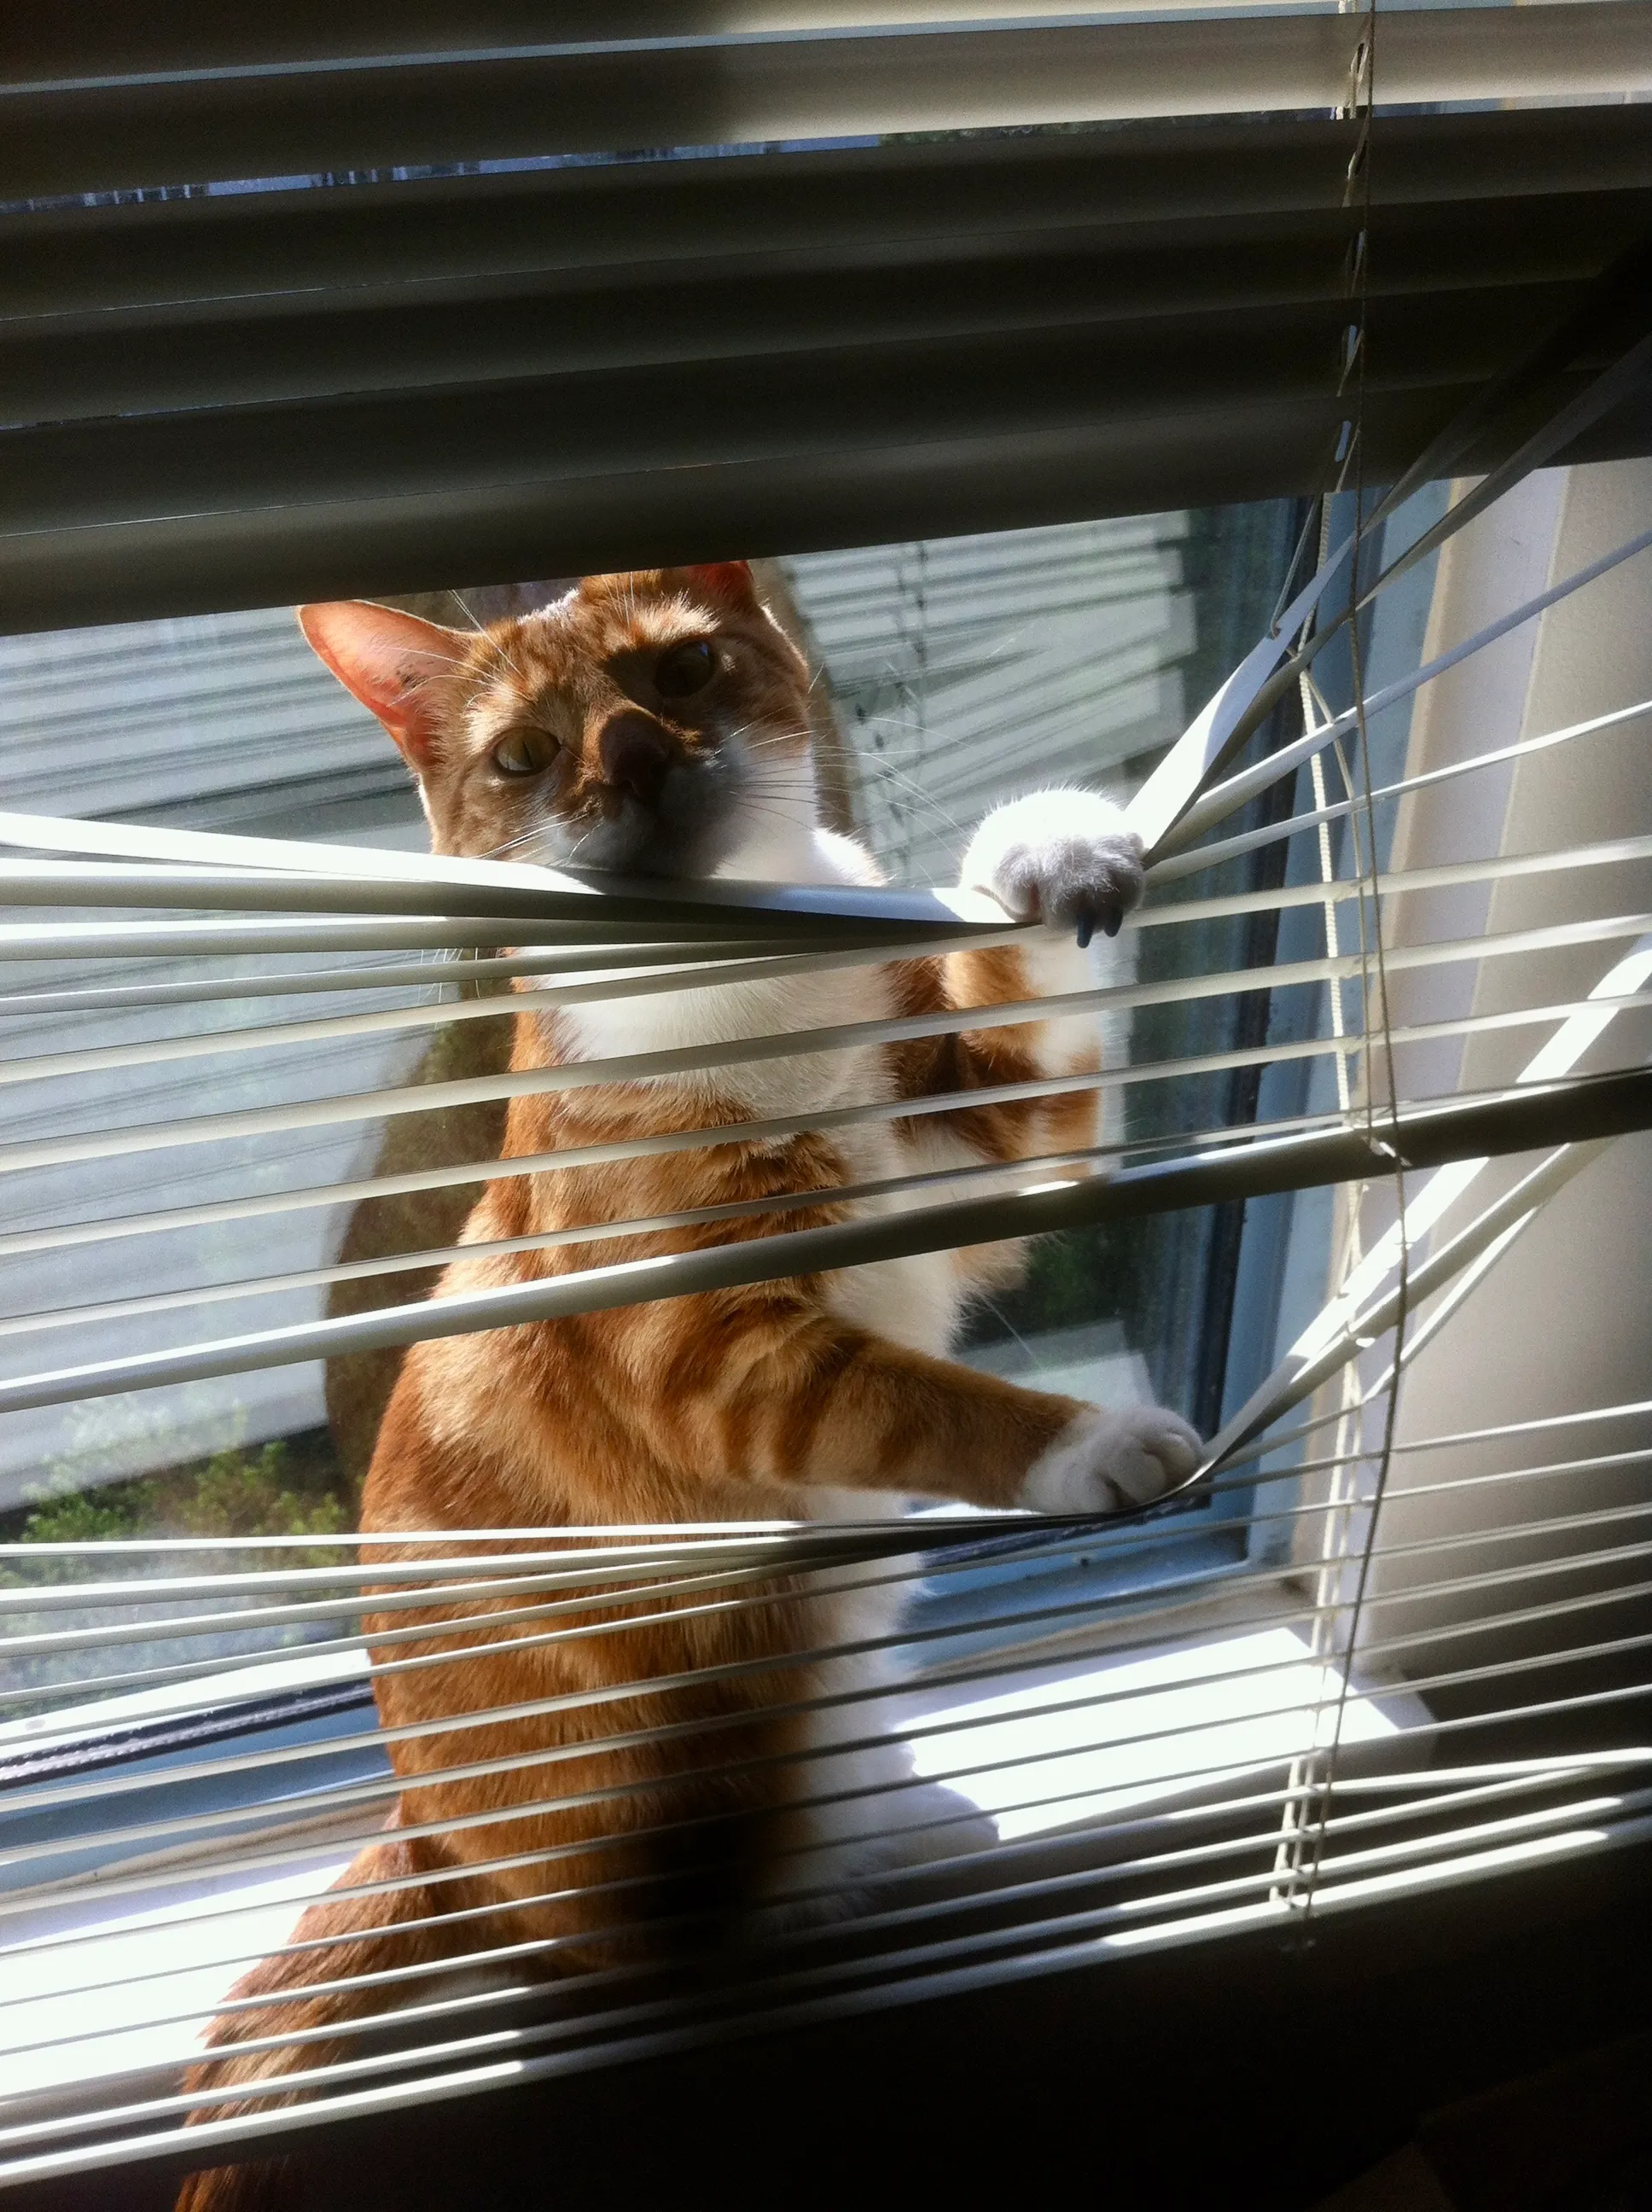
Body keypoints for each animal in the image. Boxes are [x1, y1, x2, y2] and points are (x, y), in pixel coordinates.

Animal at [174, 566, 1194, 2194]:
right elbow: (923, 1401)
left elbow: (1025, 1008)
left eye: (684, 671)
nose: (636, 754)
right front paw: (1093, 1443)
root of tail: (427, 1837)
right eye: (527, 753)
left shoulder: (987, 1156)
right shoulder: (720, 1358)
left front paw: (1048, 845)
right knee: (664, 1935)